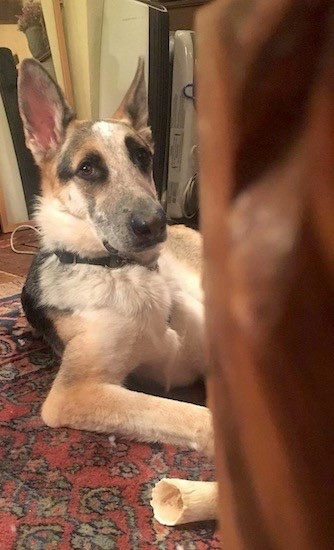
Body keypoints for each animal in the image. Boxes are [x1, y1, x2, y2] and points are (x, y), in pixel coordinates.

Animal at [18, 58, 213, 460]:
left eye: (142, 158)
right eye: (87, 169)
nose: (155, 224)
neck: (122, 269)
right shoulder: (75, 392)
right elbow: (190, 414)